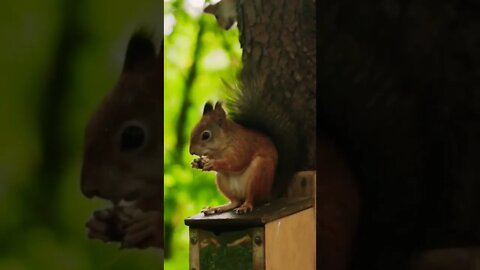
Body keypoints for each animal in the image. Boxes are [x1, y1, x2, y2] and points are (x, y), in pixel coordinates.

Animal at [188, 79, 300, 214]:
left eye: (205, 135)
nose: (191, 151)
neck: (220, 149)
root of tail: (268, 194)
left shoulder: (243, 146)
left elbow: (236, 162)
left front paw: (213, 163)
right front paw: (198, 163)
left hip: (259, 172)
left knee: (251, 198)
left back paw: (246, 206)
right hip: (221, 181)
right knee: (235, 201)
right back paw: (218, 208)